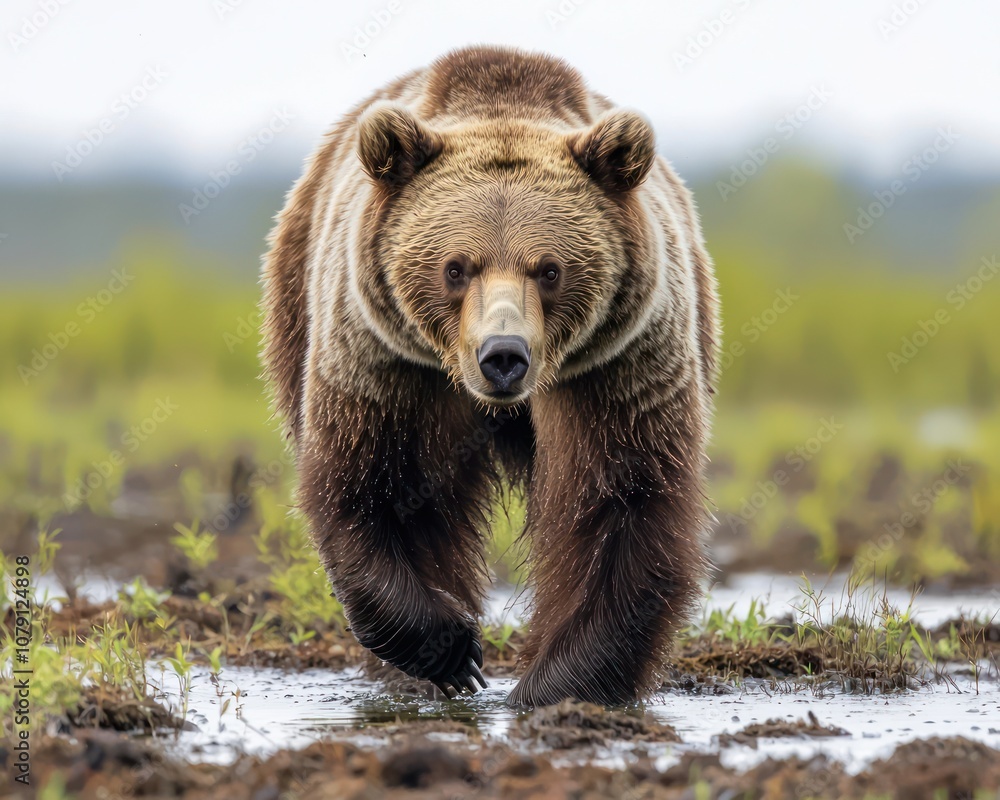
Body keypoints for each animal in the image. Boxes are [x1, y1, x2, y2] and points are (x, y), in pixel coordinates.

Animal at [260, 45, 719, 707]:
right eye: (456, 267)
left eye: (549, 269)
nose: (503, 354)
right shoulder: (392, 364)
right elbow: (381, 485)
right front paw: (452, 652)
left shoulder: (617, 367)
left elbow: (622, 499)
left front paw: (556, 686)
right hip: (298, 300)